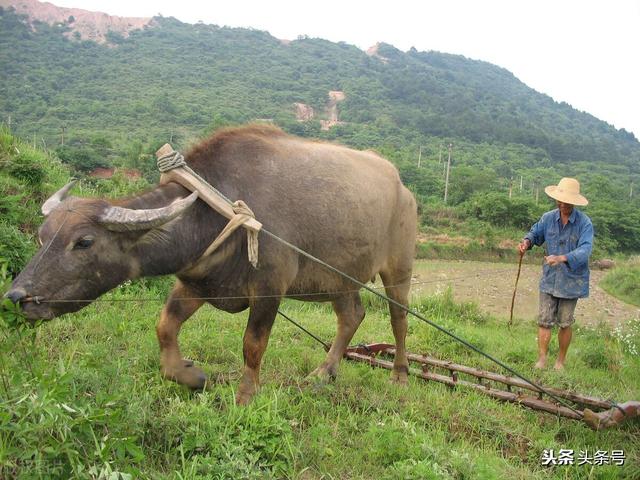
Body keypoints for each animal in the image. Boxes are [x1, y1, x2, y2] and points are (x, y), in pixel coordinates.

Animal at [7, 124, 418, 404]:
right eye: (42, 237)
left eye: (84, 242)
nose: (18, 296)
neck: (217, 213)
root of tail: (403, 188)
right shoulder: (196, 281)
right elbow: (164, 326)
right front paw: (190, 376)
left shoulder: (269, 289)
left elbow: (253, 345)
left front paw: (245, 397)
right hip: (339, 277)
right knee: (351, 316)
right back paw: (324, 371)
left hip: (399, 268)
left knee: (399, 320)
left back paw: (399, 376)